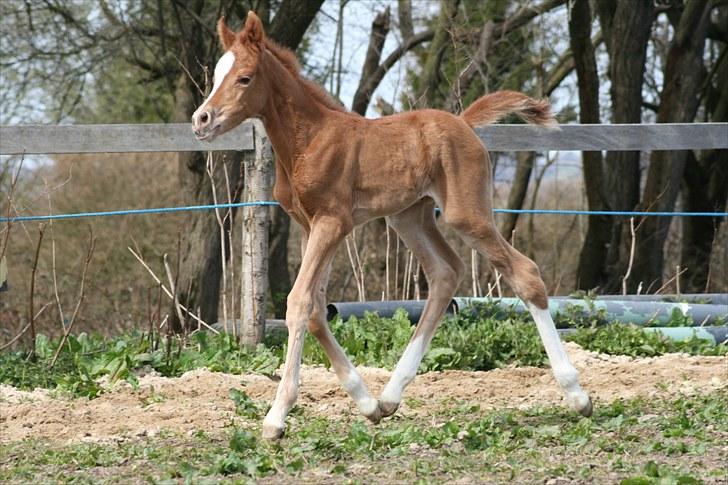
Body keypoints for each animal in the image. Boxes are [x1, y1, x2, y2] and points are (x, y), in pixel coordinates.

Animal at [193, 12, 592, 438]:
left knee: (524, 272)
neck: (308, 139)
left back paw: (577, 395)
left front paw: (276, 418)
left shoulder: (333, 223)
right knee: (445, 273)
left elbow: (299, 303)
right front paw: (366, 404)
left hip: (465, 214)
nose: (201, 119)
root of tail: (464, 122)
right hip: (410, 216)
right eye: (216, 75)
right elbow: (317, 308)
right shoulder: (309, 225)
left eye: (245, 77)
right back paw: (388, 397)